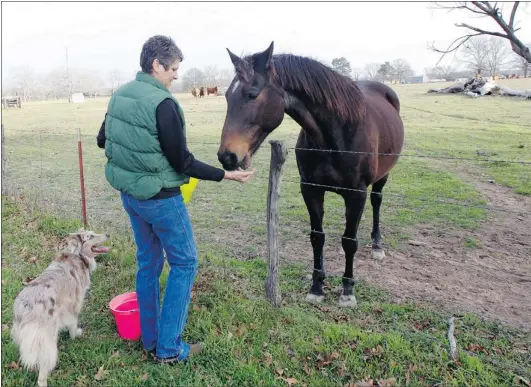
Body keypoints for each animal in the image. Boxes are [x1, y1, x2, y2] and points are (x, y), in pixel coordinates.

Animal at [218, 42, 406, 308]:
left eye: (252, 94)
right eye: (226, 96)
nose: (227, 157)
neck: (333, 136)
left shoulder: (356, 194)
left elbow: (349, 240)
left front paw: (347, 290)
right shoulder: (310, 189)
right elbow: (318, 237)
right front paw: (317, 287)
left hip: (382, 178)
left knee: (377, 202)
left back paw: (377, 245)